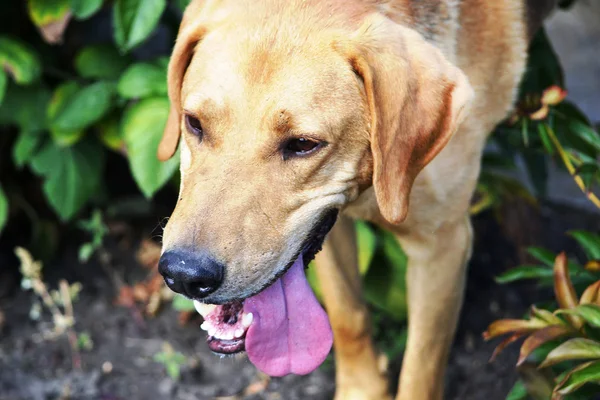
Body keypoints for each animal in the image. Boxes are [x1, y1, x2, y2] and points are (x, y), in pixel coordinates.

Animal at [157, 1, 556, 398]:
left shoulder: (441, 247)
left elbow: (421, 366)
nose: (184, 274)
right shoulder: (328, 231)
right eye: (194, 123)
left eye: (302, 144)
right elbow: (348, 317)